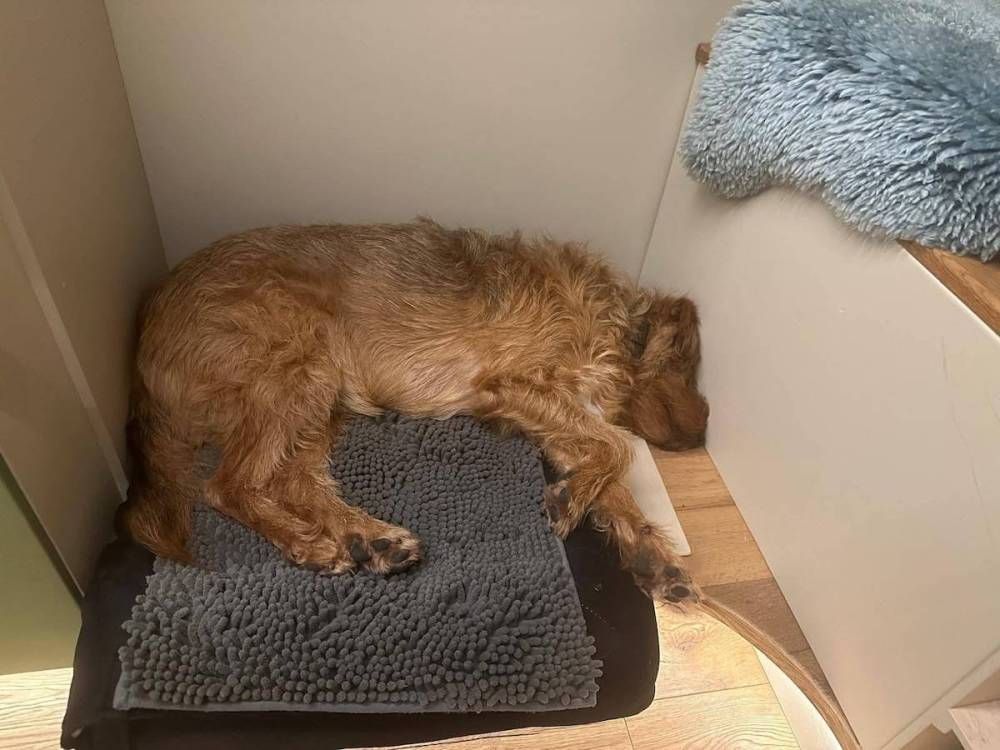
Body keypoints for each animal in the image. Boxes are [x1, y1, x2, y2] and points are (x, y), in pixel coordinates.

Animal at [122, 219, 709, 604]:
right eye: (689, 363)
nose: (704, 432)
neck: (608, 319)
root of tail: (144, 338)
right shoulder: (513, 384)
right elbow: (615, 447)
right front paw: (568, 505)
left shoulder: (545, 415)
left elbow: (610, 474)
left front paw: (652, 556)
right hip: (296, 364)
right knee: (228, 485)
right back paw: (310, 545)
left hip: (319, 395)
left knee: (292, 481)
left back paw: (370, 539)